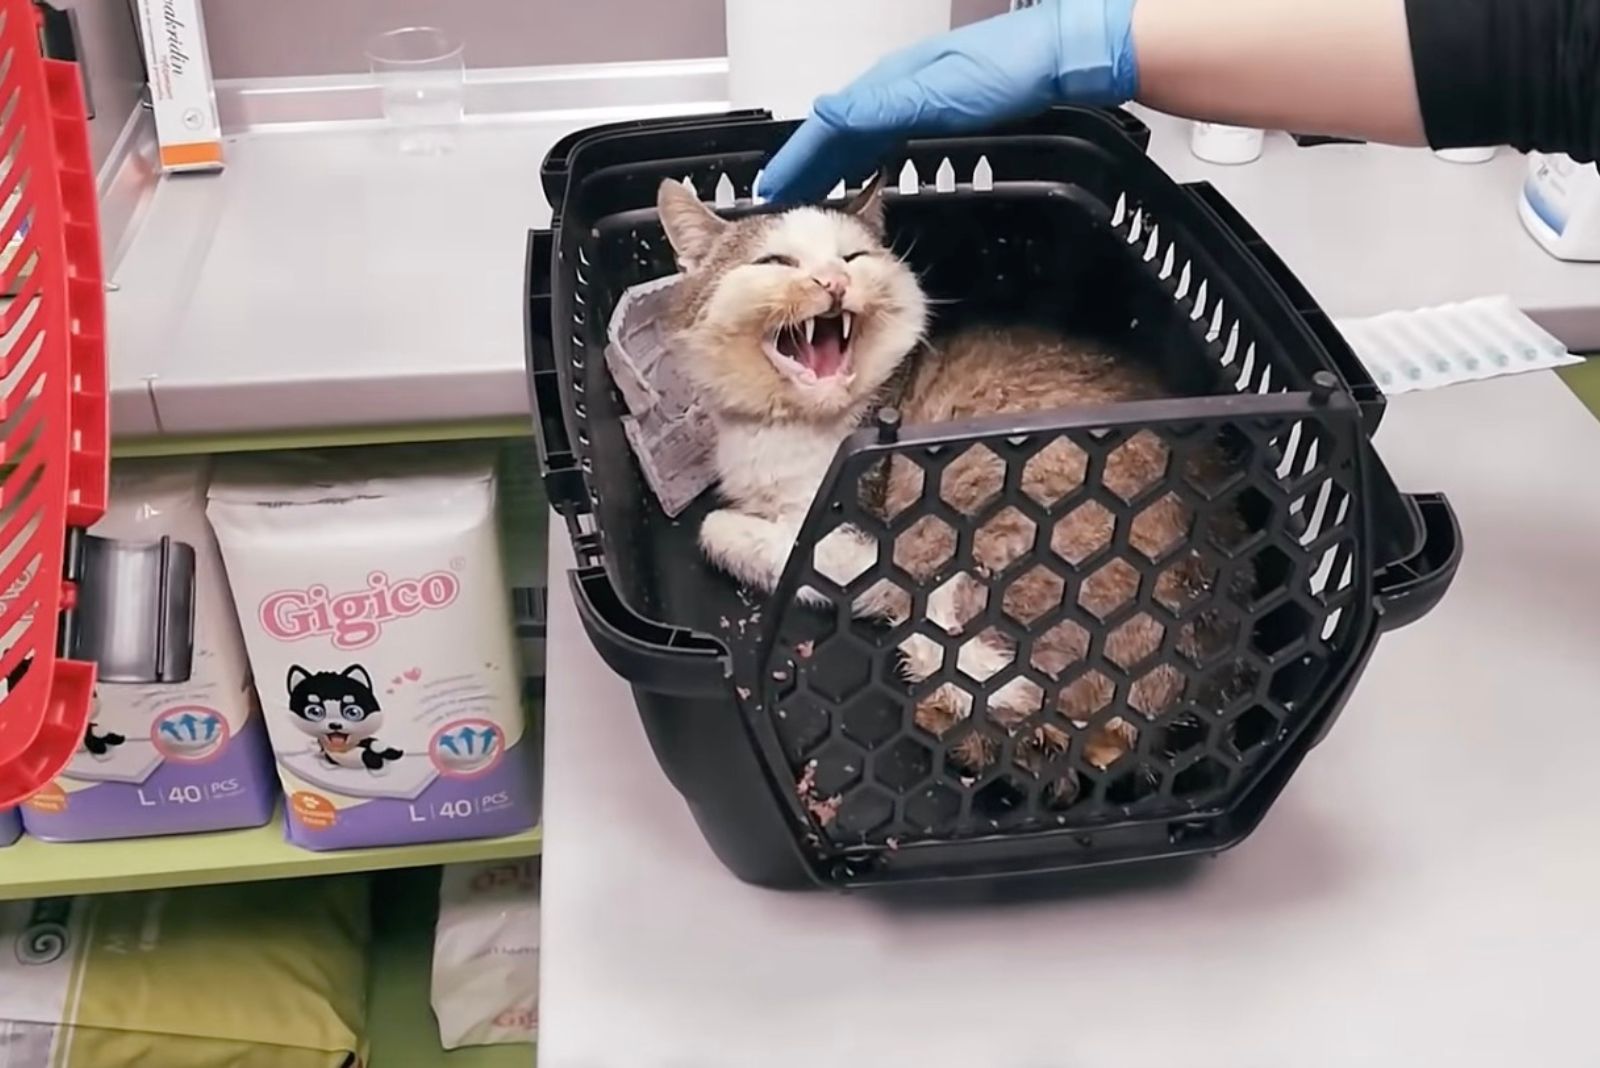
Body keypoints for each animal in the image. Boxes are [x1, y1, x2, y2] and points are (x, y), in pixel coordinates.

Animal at [656, 177, 1241, 799]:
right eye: (776, 263)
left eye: (851, 258)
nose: (833, 283)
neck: (783, 425)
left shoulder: (850, 540)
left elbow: (719, 529)